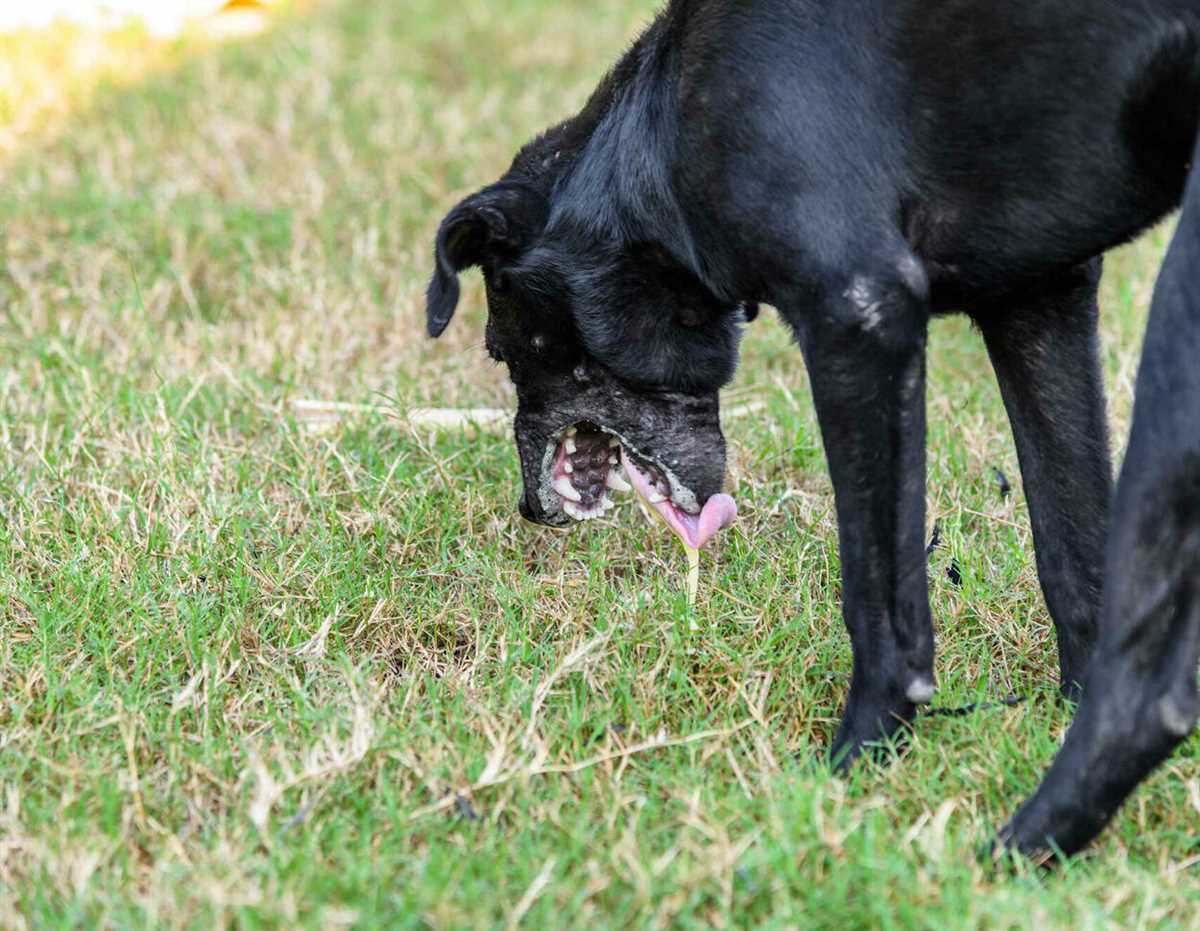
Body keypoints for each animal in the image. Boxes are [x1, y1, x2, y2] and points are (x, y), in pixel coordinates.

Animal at [429, 0, 1200, 859]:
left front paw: (856, 762)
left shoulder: (859, 317)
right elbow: (1073, 555)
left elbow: (880, 600)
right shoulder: (1039, 300)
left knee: (1153, 689)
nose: (529, 510)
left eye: (502, 349)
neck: (658, 130)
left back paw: (1014, 847)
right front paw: (1055, 715)